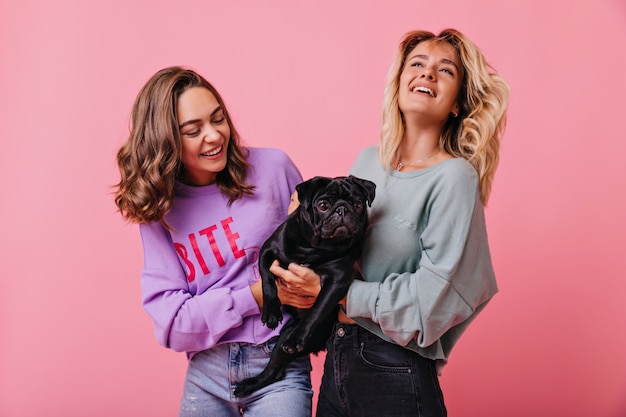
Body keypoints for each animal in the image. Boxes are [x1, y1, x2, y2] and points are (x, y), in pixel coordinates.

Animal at [232, 174, 372, 394]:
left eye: (358, 205)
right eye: (323, 205)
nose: (342, 209)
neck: (312, 248)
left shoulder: (336, 282)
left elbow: (315, 312)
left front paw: (296, 338)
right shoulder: (267, 251)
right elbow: (268, 283)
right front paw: (271, 314)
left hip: (285, 340)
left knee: (277, 368)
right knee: (274, 371)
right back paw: (248, 385)